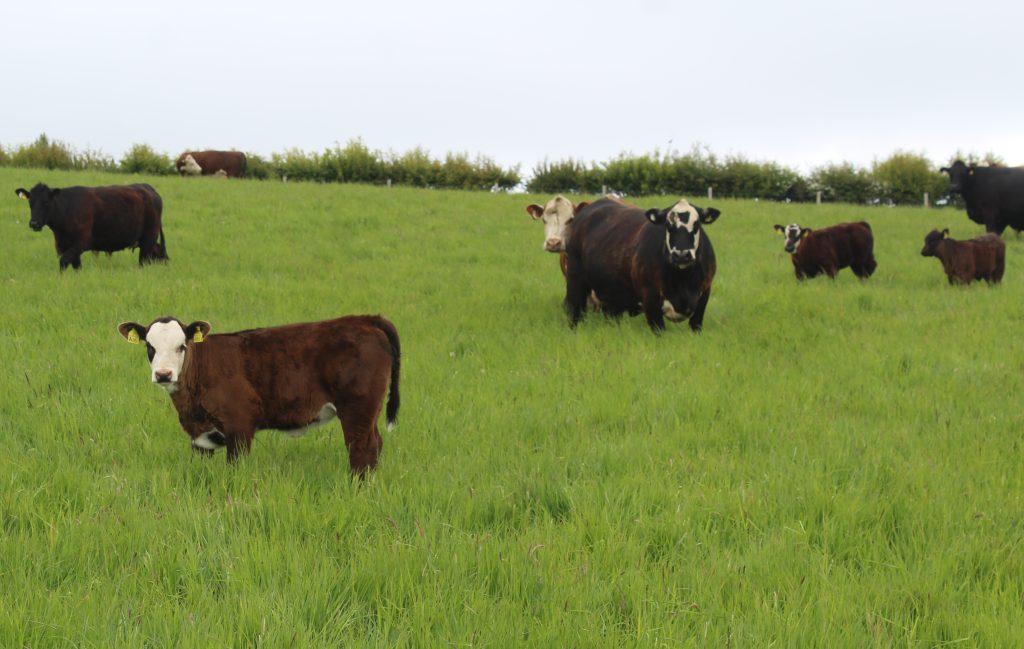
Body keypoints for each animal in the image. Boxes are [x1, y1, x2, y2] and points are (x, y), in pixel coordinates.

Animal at [15, 183, 167, 271]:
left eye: (46, 202)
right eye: (30, 203)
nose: (34, 223)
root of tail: (149, 188)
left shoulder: (83, 241)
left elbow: (63, 262)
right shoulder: (65, 244)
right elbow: (76, 266)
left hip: (149, 236)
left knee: (144, 261)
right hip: (146, 240)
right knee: (157, 252)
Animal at [117, 315, 401, 475]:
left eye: (182, 346)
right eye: (150, 346)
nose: (164, 374)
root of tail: (363, 319)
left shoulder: (240, 425)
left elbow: (235, 470)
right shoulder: (201, 436)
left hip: (357, 409)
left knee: (362, 449)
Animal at [563, 197, 720, 333]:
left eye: (697, 224)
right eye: (668, 225)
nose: (681, 255)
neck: (683, 281)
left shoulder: (703, 297)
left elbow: (696, 325)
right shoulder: (650, 298)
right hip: (575, 281)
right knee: (575, 314)